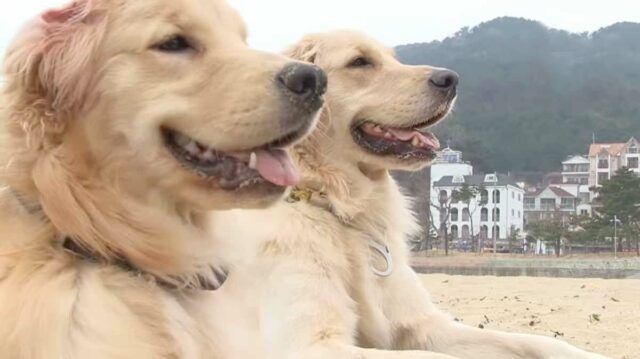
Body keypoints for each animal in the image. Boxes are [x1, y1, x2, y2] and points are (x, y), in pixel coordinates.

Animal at [210, 31, 608, 359]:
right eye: (360, 62)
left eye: (394, 59)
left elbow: (534, 341)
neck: (339, 205)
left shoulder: (424, 324)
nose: (451, 79)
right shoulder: (310, 344)